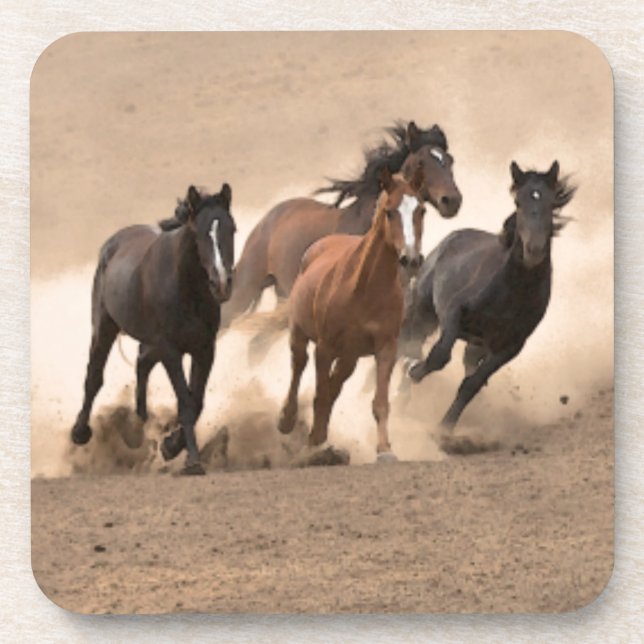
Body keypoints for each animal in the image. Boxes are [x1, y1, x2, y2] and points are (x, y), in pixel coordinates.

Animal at [70, 183, 237, 475]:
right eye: (200, 233)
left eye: (232, 230)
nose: (222, 284)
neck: (186, 288)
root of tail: (113, 243)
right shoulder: (171, 350)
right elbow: (185, 402)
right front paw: (192, 461)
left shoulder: (204, 349)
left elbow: (197, 401)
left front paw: (170, 445)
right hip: (104, 327)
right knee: (94, 376)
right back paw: (80, 432)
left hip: (150, 341)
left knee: (142, 362)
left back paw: (140, 424)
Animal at [277, 166, 426, 462]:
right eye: (389, 211)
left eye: (421, 210)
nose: (411, 259)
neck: (365, 289)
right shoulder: (324, 348)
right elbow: (320, 394)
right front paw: (313, 445)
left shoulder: (386, 348)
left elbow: (379, 402)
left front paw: (385, 450)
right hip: (300, 335)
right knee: (298, 366)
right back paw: (287, 420)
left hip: (350, 356)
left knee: (335, 385)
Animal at [403, 160, 576, 435]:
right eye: (517, 202)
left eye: (551, 204)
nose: (534, 251)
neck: (511, 292)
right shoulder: (453, 314)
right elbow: (439, 356)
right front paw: (413, 369)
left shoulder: (509, 347)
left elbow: (472, 384)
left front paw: (445, 429)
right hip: (423, 311)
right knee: (410, 344)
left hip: (477, 343)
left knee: (466, 366)